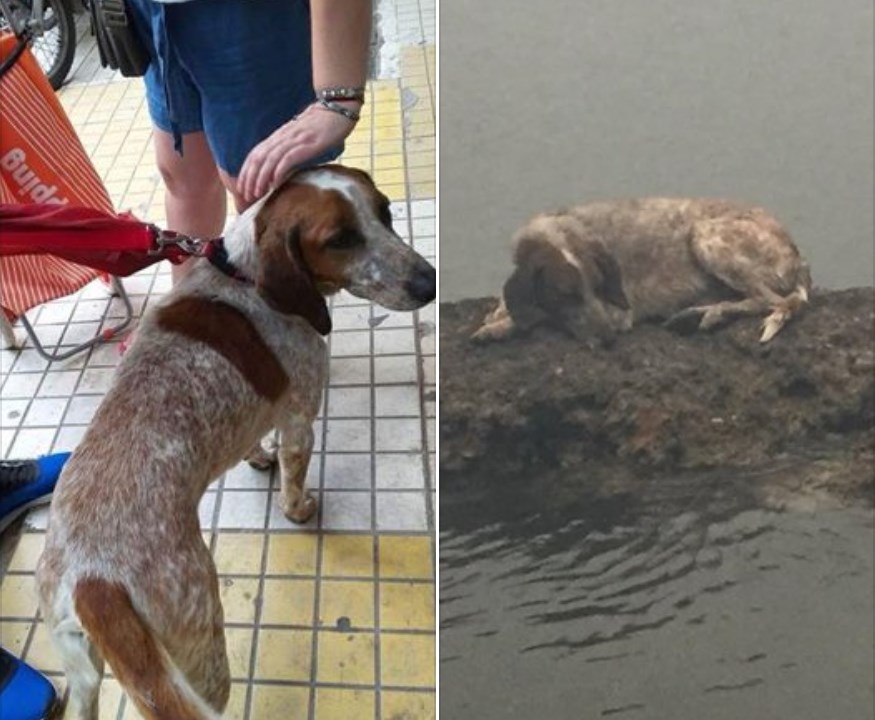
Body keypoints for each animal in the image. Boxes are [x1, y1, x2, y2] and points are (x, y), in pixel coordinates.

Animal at [36, 166, 434, 716]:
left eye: (386, 213)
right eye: (340, 239)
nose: (430, 282)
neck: (243, 275)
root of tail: (95, 581)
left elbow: (254, 443)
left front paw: (258, 459)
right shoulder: (300, 417)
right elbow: (293, 482)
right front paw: (299, 509)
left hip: (85, 668)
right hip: (202, 647)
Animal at [476, 197, 812, 344]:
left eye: (599, 286)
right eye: (565, 294)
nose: (608, 338)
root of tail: (799, 259)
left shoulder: (618, 312)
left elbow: (540, 317)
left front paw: (500, 326)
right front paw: (499, 315)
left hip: (704, 235)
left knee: (772, 300)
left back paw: (707, 313)